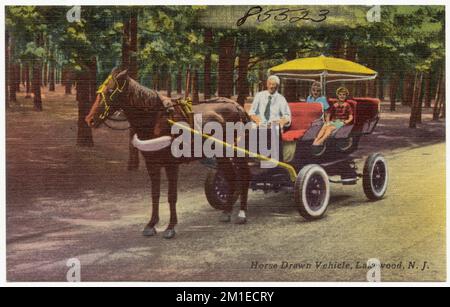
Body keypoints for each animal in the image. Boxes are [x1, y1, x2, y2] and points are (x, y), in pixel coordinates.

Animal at [86, 68, 251, 239]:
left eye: (109, 91)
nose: (90, 119)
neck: (155, 120)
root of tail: (238, 107)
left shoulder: (171, 164)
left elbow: (172, 196)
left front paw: (170, 227)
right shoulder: (151, 164)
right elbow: (155, 194)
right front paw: (151, 224)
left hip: (236, 152)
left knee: (244, 176)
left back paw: (241, 213)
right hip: (221, 154)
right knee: (231, 177)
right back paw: (227, 211)